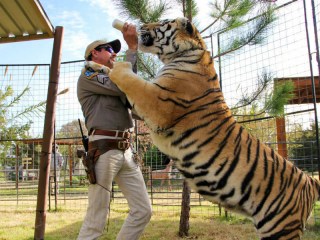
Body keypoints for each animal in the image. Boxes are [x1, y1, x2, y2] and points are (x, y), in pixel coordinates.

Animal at [89, 17, 320, 240]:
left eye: (162, 22)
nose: (141, 25)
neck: (185, 53)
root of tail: (310, 180)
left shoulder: (156, 102)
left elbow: (128, 77)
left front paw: (114, 65)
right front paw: (94, 64)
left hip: (280, 227)